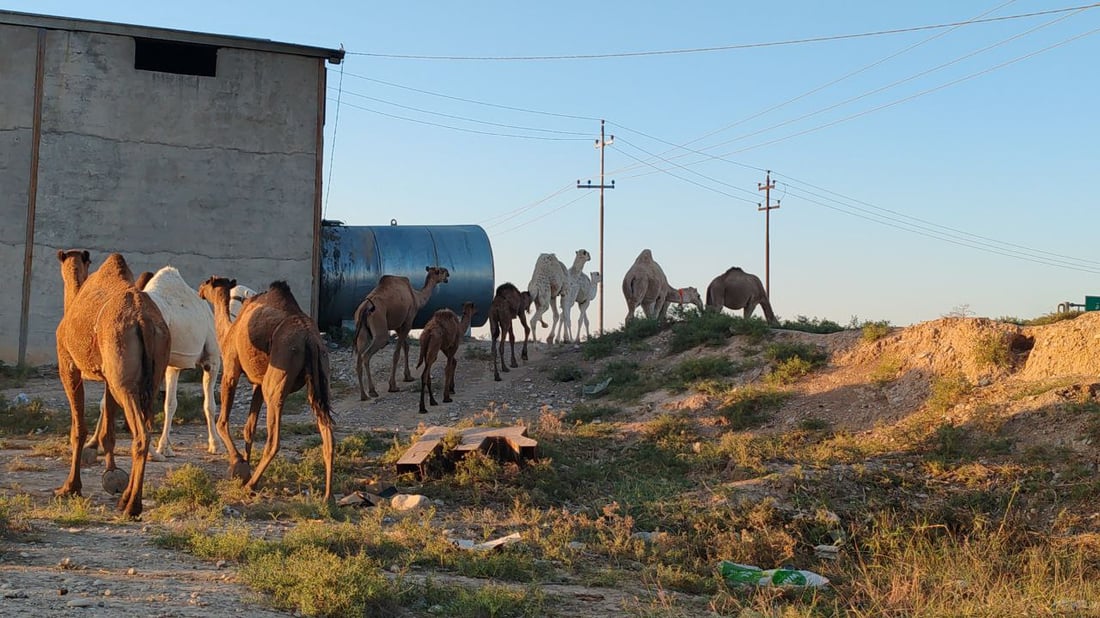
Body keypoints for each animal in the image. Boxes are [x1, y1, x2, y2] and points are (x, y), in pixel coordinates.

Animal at [55, 248, 170, 514]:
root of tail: (144, 322)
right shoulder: (108, 376)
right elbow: (108, 430)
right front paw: (111, 475)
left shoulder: (68, 364)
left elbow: (78, 429)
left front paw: (70, 487)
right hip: (151, 375)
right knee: (146, 425)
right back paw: (126, 498)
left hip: (124, 381)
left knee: (141, 434)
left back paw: (132, 506)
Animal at [89, 263, 222, 457]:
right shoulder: (211, 358)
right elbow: (209, 405)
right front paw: (215, 444)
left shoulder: (173, 365)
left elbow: (170, 404)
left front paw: (165, 446)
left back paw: (95, 443)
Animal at [198, 277, 334, 497]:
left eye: (208, 281)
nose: (200, 290)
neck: (228, 332)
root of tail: (310, 340)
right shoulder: (259, 384)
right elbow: (249, 428)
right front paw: (245, 465)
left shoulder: (231, 370)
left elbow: (222, 422)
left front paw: (238, 464)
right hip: (320, 377)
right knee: (328, 434)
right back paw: (328, 497)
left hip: (278, 376)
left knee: (274, 440)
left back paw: (252, 485)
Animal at [352, 266, 446, 400]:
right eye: (441, 271)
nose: (448, 274)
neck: (416, 297)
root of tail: (365, 308)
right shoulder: (408, 320)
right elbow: (397, 354)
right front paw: (393, 386)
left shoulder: (398, 325)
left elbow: (405, 347)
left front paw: (408, 376)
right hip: (380, 327)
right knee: (366, 355)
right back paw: (372, 391)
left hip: (362, 331)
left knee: (359, 358)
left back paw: (363, 395)